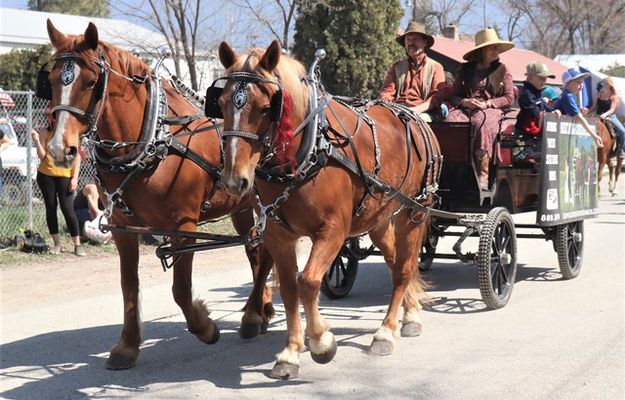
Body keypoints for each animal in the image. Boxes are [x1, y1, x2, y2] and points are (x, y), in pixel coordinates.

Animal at [39, 20, 272, 370]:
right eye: (52, 80)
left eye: (90, 81)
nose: (58, 148)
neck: (153, 141)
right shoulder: (123, 228)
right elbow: (129, 286)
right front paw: (127, 346)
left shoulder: (184, 227)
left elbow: (181, 289)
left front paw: (205, 327)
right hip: (242, 208)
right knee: (256, 254)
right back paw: (260, 311)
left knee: (265, 254)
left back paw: (254, 314)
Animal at [212, 41, 442, 382]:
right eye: (222, 103)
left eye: (266, 107)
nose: (233, 180)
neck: (309, 149)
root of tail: (415, 117)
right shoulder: (278, 236)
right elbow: (290, 288)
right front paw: (291, 352)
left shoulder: (332, 231)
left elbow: (308, 281)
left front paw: (321, 341)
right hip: (378, 217)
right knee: (396, 261)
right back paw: (411, 312)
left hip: (413, 212)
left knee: (403, 267)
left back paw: (386, 331)